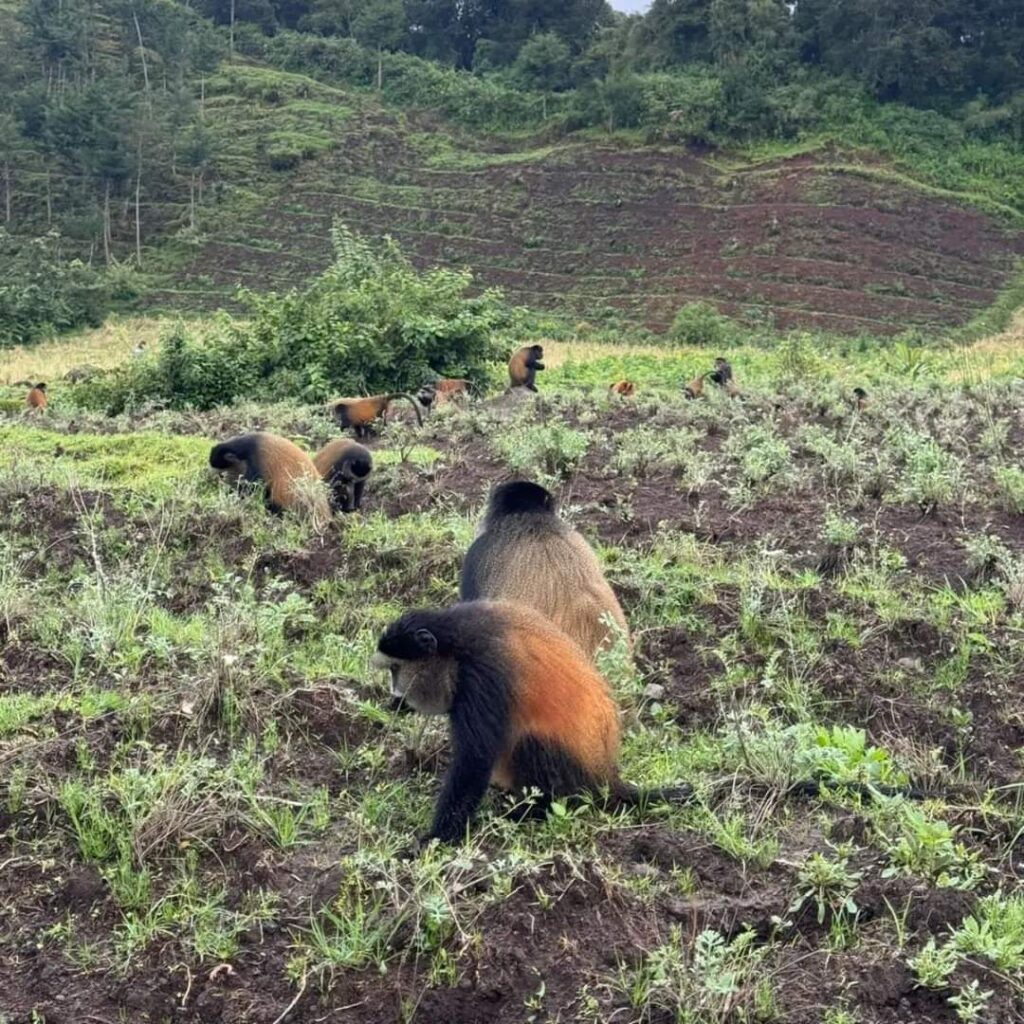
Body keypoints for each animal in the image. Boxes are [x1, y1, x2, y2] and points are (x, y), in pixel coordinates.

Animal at [372, 600, 693, 845]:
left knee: (530, 743)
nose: (396, 691)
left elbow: (473, 759)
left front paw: (437, 838)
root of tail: (606, 776)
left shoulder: (483, 673)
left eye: (396, 669)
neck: (458, 640)